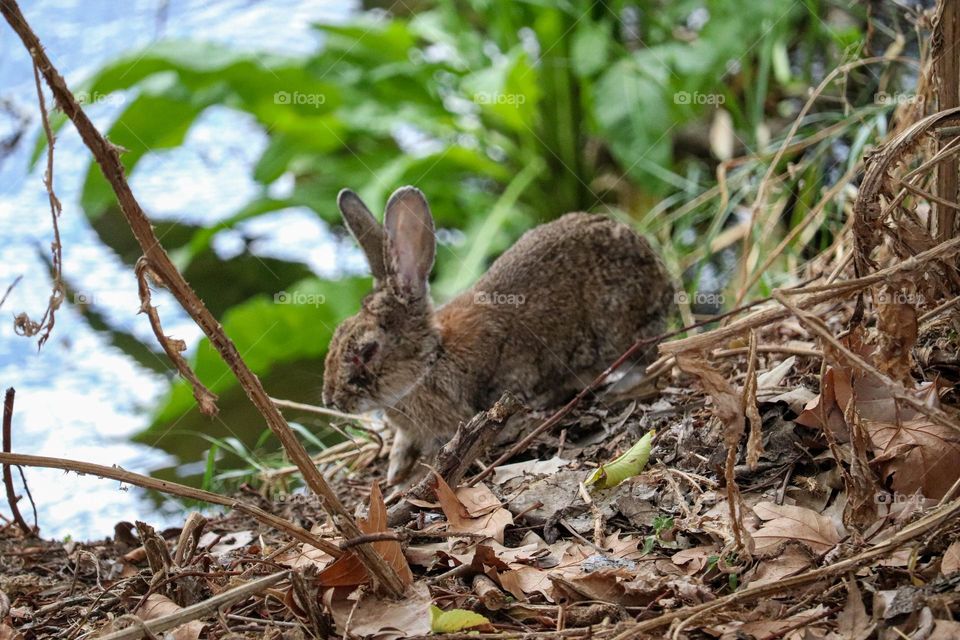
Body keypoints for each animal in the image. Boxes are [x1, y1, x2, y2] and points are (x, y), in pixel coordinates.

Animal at [322, 186, 674, 484]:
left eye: (366, 351)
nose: (331, 400)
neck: (432, 361)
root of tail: (660, 273)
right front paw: (394, 472)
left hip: (620, 329)